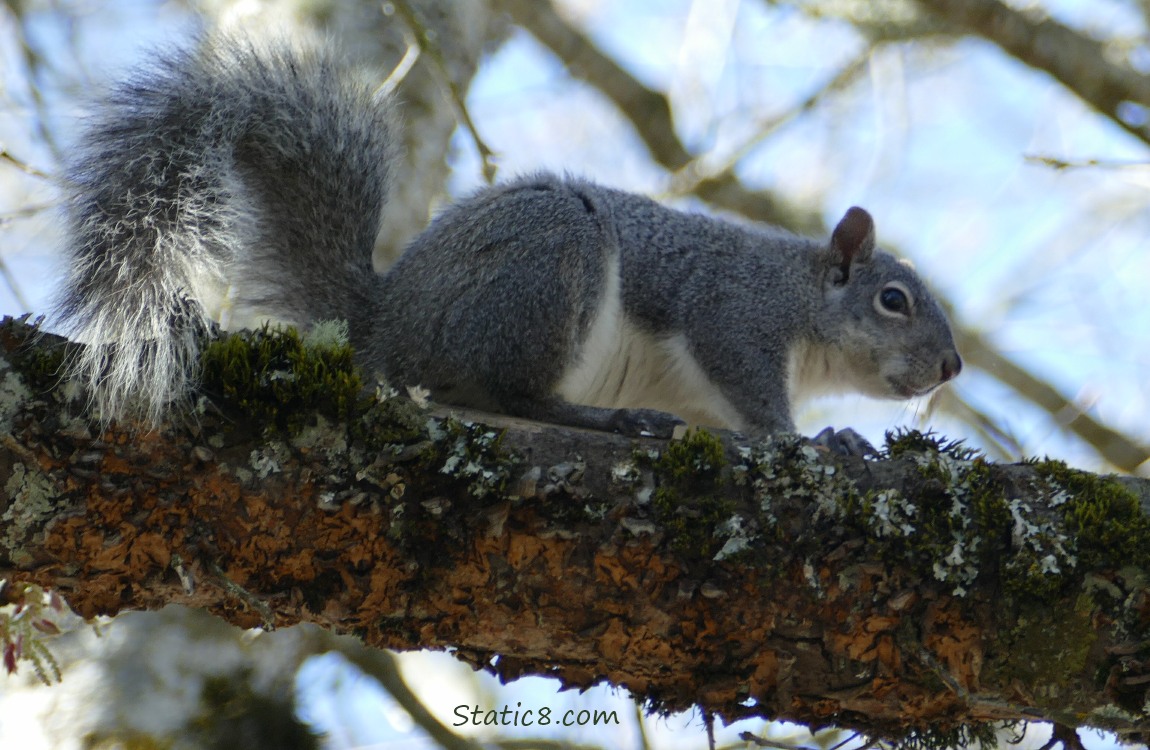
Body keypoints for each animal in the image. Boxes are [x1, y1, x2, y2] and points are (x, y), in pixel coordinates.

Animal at [51, 33, 961, 439]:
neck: (807, 307)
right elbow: (753, 390)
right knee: (510, 393)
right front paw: (814, 439)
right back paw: (600, 419)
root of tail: (386, 325)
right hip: (548, 268)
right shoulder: (735, 309)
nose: (952, 367)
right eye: (894, 299)